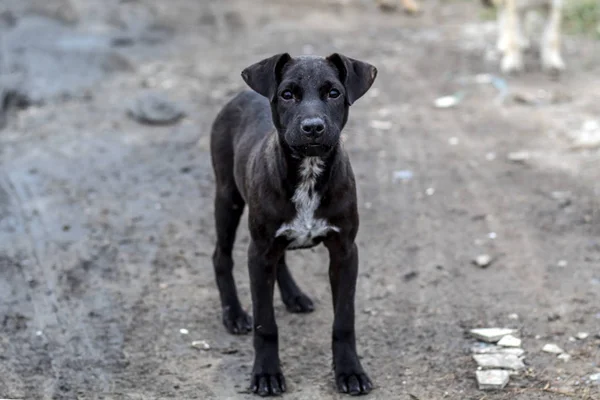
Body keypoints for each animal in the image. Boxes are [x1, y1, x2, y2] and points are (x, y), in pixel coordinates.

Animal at [211, 53, 378, 396]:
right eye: (287, 94)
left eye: (334, 93)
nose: (312, 127)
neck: (309, 172)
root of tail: (241, 94)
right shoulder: (258, 252)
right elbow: (265, 324)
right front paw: (266, 373)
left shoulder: (345, 252)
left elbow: (344, 320)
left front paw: (350, 371)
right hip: (227, 198)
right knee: (221, 255)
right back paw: (233, 313)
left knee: (280, 258)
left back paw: (293, 296)